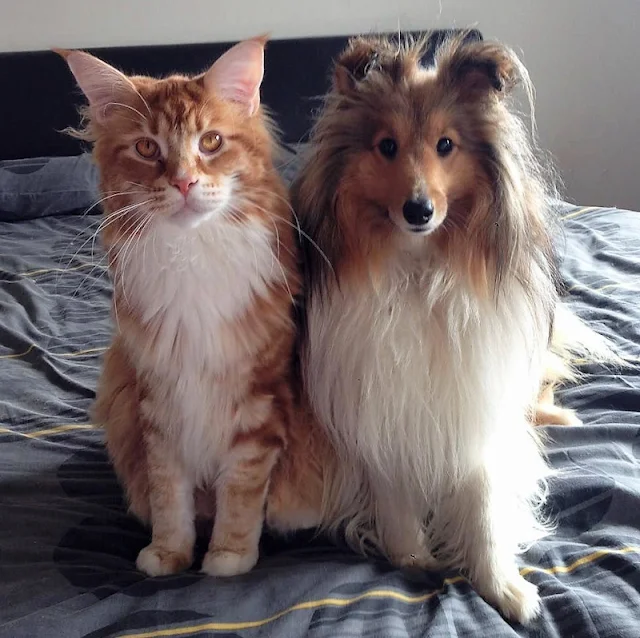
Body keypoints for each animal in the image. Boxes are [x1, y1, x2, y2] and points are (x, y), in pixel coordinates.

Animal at [58, 38, 312, 580]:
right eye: (146, 148)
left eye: (211, 142)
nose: (183, 183)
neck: (192, 255)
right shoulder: (158, 398)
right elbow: (168, 492)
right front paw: (169, 552)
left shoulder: (260, 401)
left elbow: (240, 491)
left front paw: (228, 556)